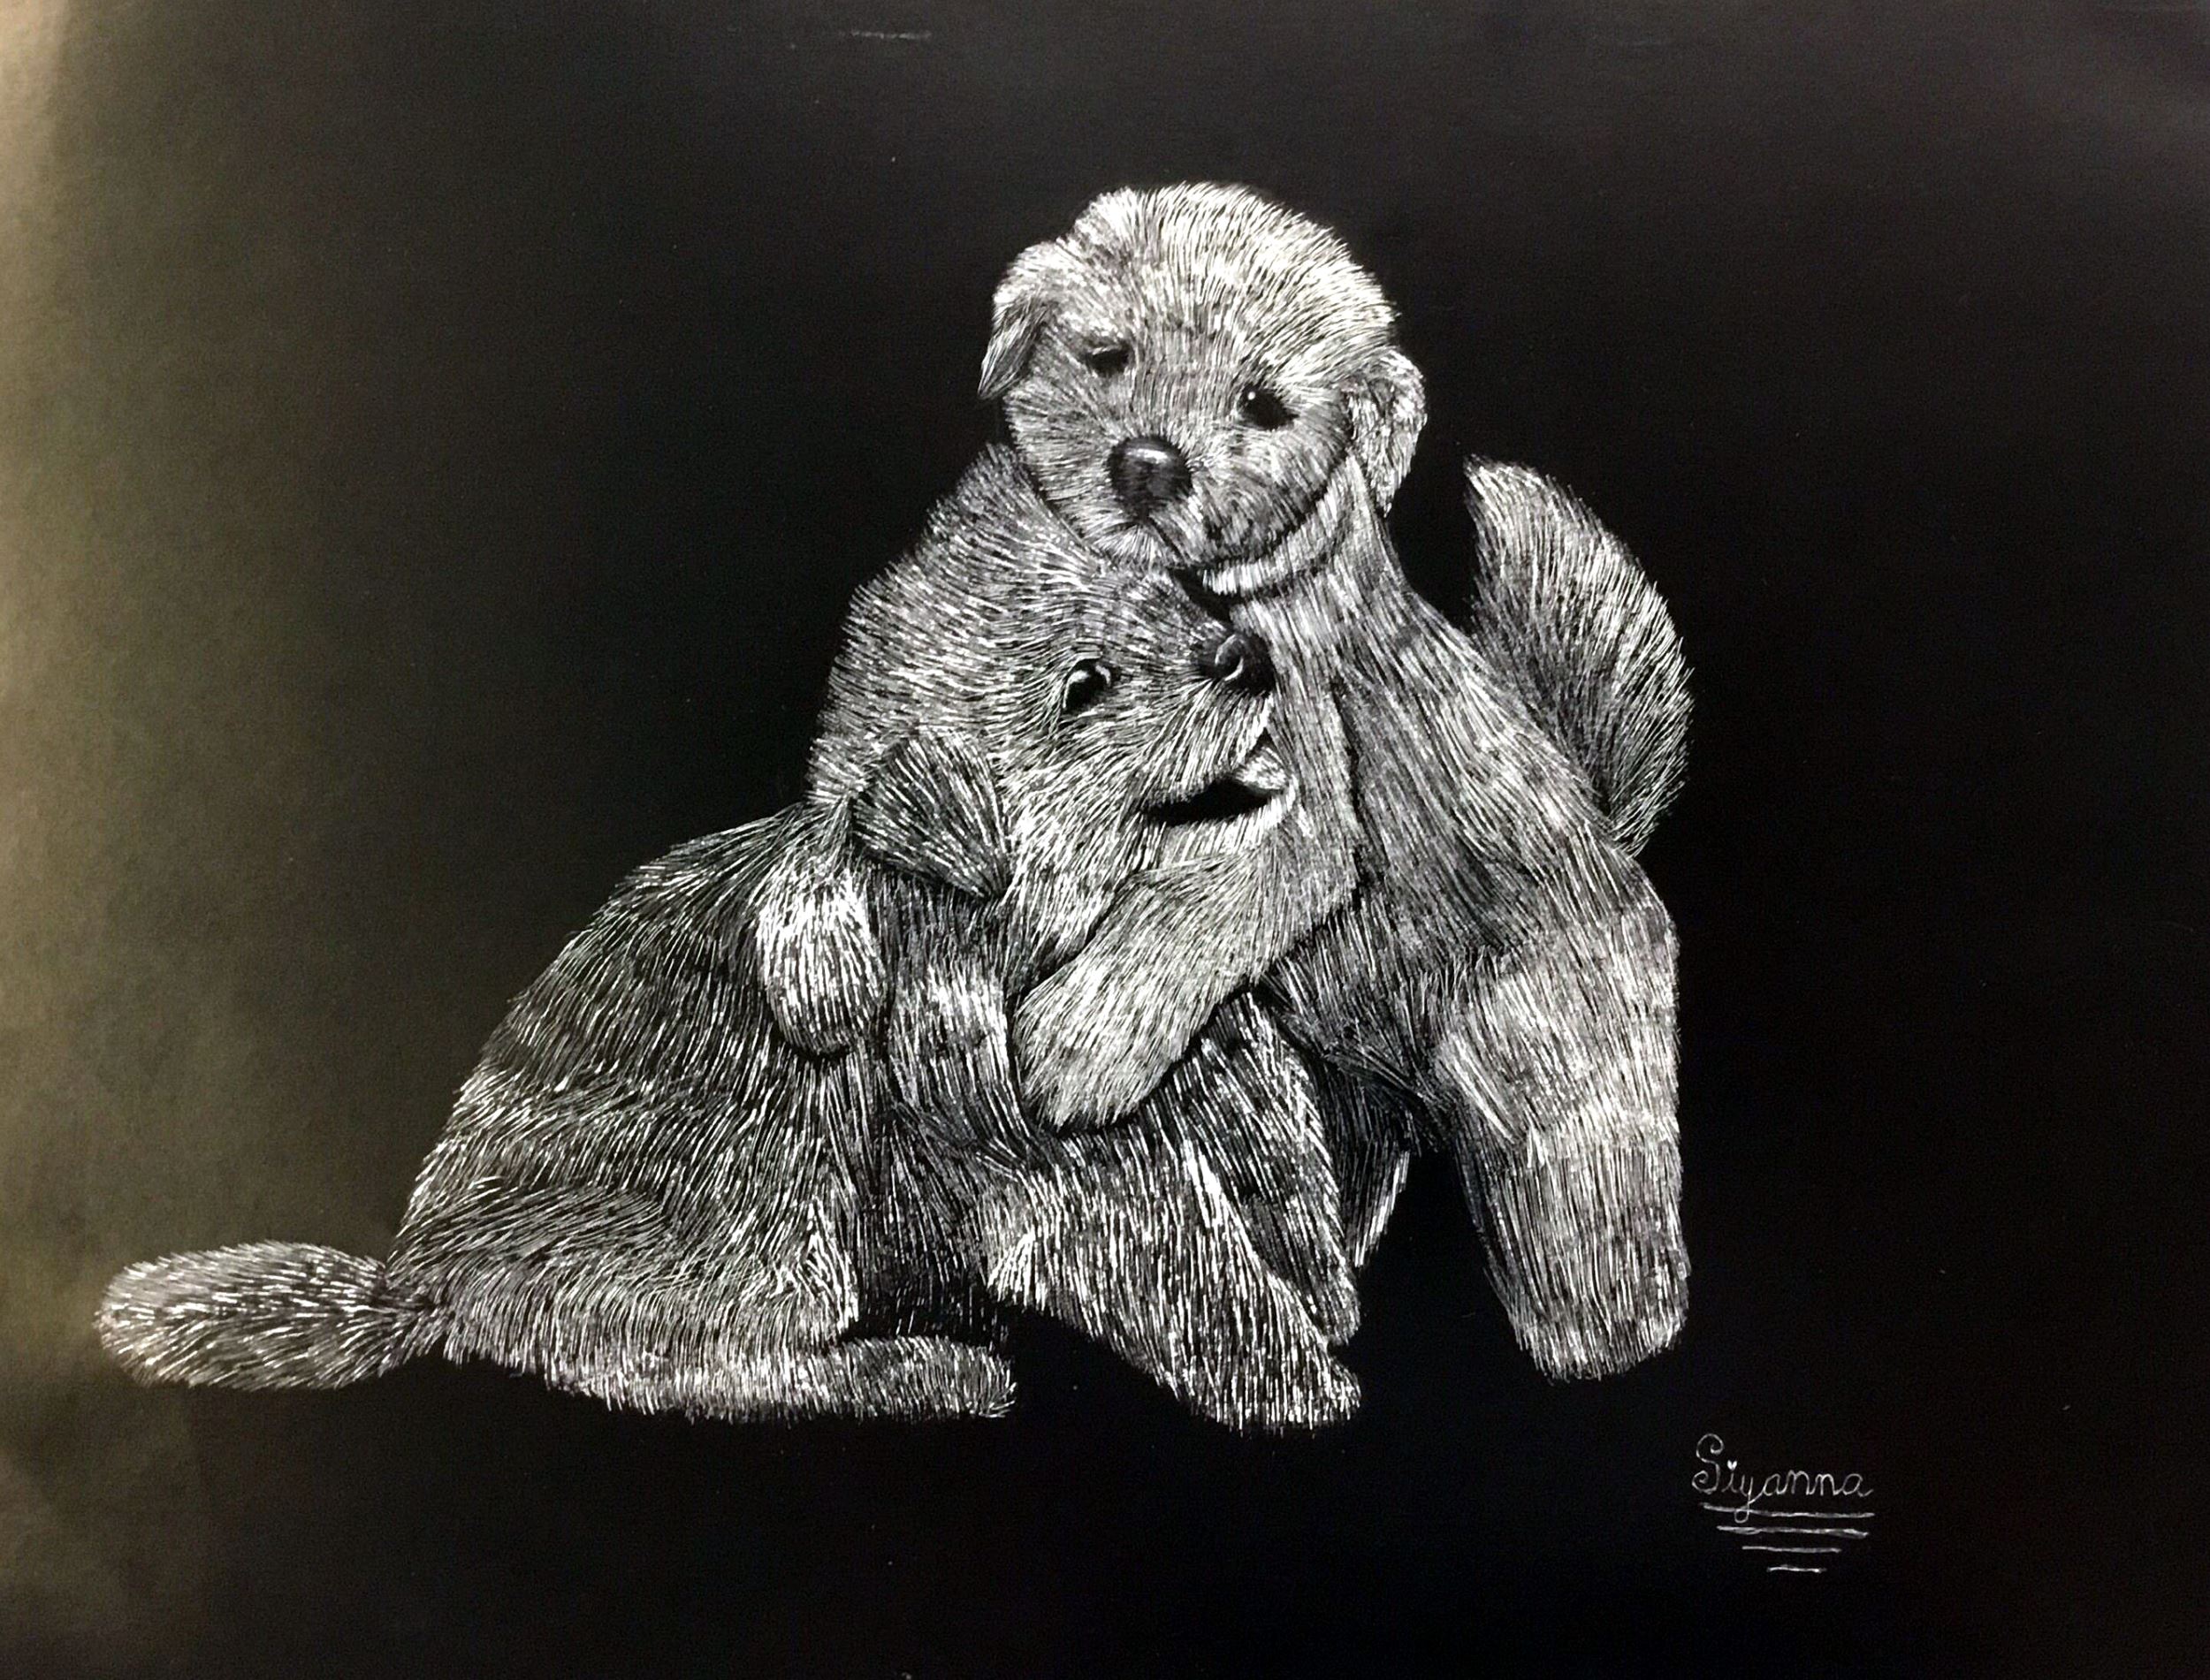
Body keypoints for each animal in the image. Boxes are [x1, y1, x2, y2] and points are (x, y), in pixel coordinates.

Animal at [98, 469, 1362, 1431]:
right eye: (1084, 686)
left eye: (1169, 589)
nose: (1246, 657)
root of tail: (422, 1277)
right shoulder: (1033, 1145)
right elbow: (1176, 1258)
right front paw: (1299, 1384)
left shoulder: (1195, 1053)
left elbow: (1266, 1142)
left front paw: (1329, 1283)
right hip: (769, 1210)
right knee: (695, 1365)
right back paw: (924, 1366)